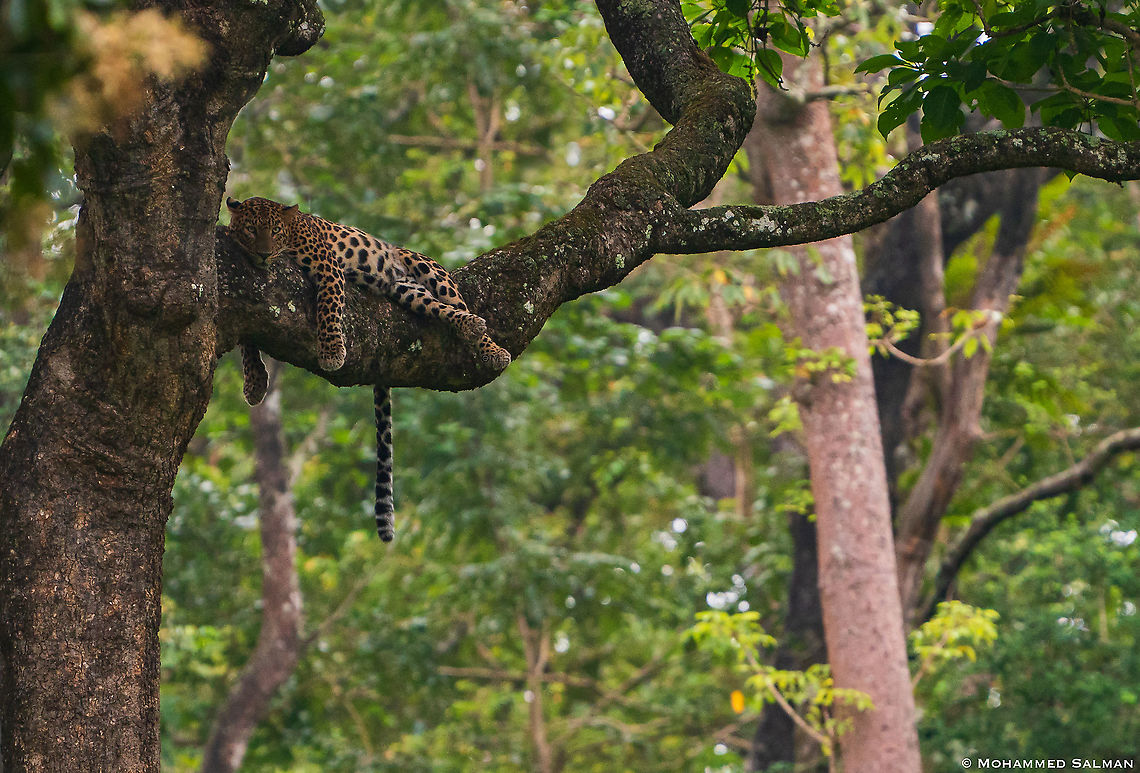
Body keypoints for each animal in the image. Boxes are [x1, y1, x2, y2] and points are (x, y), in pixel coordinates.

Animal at [225, 195, 511, 542]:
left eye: (275, 231)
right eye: (252, 230)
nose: (264, 254)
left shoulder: (328, 265)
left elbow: (329, 307)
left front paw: (332, 351)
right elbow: (247, 338)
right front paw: (254, 381)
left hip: (429, 271)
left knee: (460, 304)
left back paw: (491, 348)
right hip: (408, 292)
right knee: (439, 308)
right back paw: (468, 326)